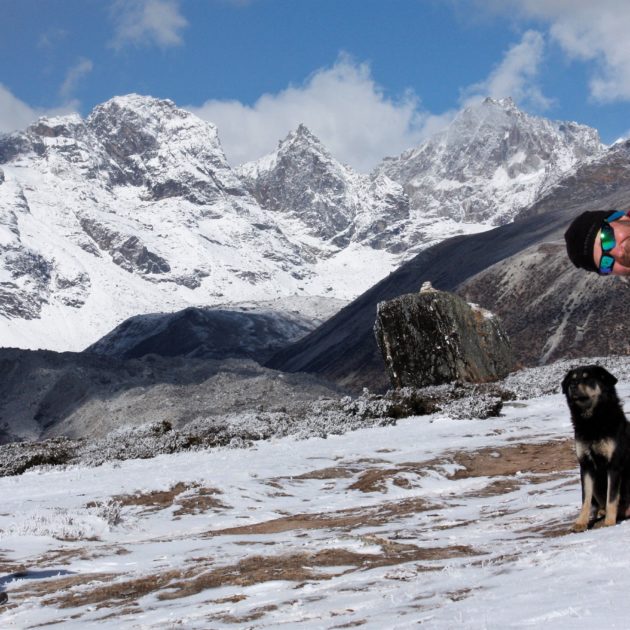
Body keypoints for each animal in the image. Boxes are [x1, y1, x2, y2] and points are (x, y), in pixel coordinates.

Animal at [564, 366, 630, 532]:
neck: (592, 421)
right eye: (572, 379)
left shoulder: (614, 465)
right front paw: (581, 522)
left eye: (587, 378)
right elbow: (585, 498)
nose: (572, 386)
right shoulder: (586, 465)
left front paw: (609, 522)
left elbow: (611, 497)